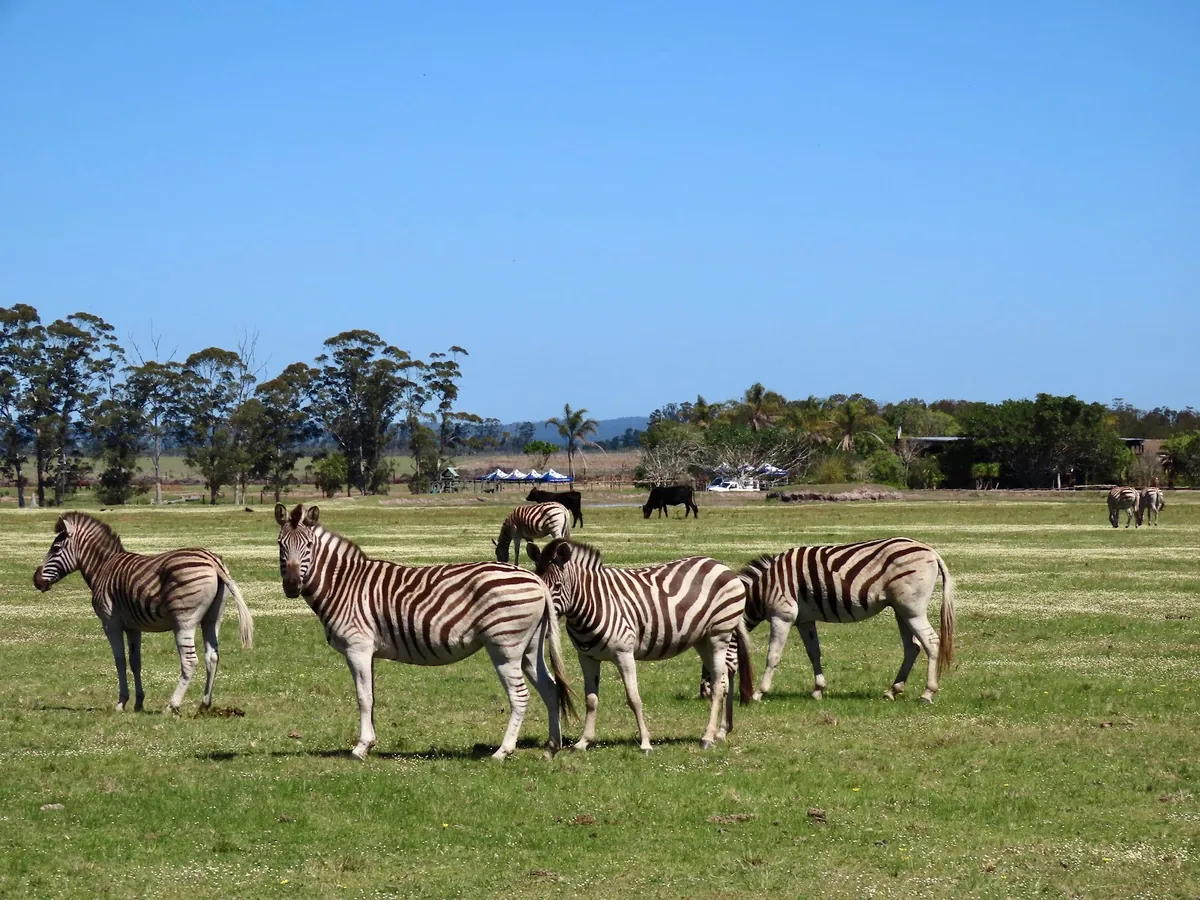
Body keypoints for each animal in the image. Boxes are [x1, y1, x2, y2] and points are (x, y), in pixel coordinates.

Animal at [32, 511, 254, 713]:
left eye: (55, 549)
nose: (36, 580)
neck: (102, 567)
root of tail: (213, 561)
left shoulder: (110, 622)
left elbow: (119, 660)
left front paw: (121, 702)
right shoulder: (133, 627)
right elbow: (135, 662)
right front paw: (138, 702)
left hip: (184, 620)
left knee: (190, 661)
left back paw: (173, 706)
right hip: (212, 618)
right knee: (212, 657)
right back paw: (204, 705)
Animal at [275, 503, 575, 760]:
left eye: (309, 546)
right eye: (280, 545)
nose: (291, 585)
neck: (343, 585)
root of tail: (536, 579)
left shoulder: (357, 647)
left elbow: (363, 698)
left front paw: (360, 748)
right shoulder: (368, 651)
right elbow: (372, 697)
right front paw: (370, 743)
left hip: (505, 647)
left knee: (520, 696)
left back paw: (503, 751)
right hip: (530, 647)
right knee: (550, 688)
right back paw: (552, 746)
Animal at [525, 538, 753, 752]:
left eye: (557, 586)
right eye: (538, 582)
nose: (542, 621)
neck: (593, 602)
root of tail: (721, 565)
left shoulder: (624, 653)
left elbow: (634, 698)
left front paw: (645, 743)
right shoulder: (587, 657)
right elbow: (591, 699)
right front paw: (583, 742)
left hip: (719, 635)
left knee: (717, 685)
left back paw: (707, 737)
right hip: (702, 640)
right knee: (724, 679)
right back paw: (721, 732)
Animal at [700, 538, 956, 704]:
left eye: (708, 662)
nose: (703, 694)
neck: (764, 589)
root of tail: (932, 552)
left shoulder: (782, 616)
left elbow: (773, 655)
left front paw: (759, 693)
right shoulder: (804, 620)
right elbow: (814, 652)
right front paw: (818, 690)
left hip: (912, 609)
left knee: (932, 643)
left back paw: (927, 693)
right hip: (900, 610)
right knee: (912, 647)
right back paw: (893, 691)